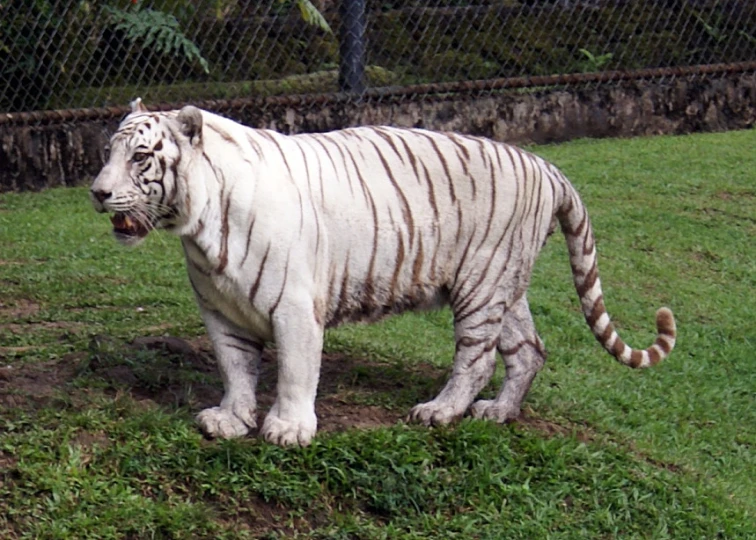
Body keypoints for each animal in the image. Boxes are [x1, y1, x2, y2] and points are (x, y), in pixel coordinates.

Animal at [91, 100, 676, 448]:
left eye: (140, 156)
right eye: (108, 152)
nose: (97, 192)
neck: (199, 225)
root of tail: (547, 166)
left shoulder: (294, 306)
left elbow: (297, 371)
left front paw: (288, 429)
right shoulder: (220, 309)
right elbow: (235, 369)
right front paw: (231, 420)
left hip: (481, 283)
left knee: (478, 358)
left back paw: (441, 411)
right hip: (504, 285)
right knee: (529, 349)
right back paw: (497, 413)